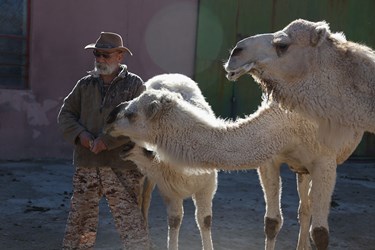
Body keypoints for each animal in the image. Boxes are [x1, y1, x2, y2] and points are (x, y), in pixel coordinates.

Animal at [105, 73, 364, 249]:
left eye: (131, 115)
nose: (111, 115)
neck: (289, 122)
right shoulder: (270, 159)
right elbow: (272, 222)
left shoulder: (325, 161)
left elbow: (320, 234)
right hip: (301, 167)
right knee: (304, 206)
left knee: (307, 207)